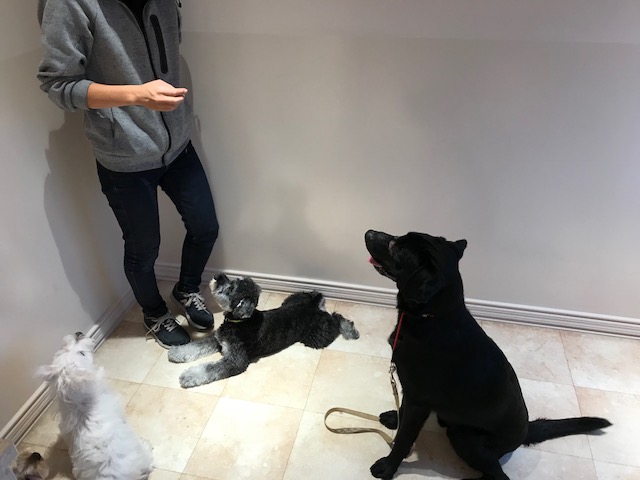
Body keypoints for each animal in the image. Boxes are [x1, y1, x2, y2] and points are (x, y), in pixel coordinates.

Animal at [168, 273, 360, 388]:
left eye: (231, 288)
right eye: (233, 281)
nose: (217, 276)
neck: (239, 322)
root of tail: (313, 305)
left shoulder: (235, 361)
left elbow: (210, 369)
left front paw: (188, 376)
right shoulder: (217, 339)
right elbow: (196, 346)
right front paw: (177, 353)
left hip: (317, 335)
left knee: (336, 317)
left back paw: (350, 330)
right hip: (292, 299)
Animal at [364, 230, 611, 480]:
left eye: (396, 247)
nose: (369, 232)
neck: (434, 316)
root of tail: (525, 432)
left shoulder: (418, 399)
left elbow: (404, 437)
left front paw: (388, 466)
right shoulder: (411, 391)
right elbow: (402, 413)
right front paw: (394, 418)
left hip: (465, 437)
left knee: (498, 474)